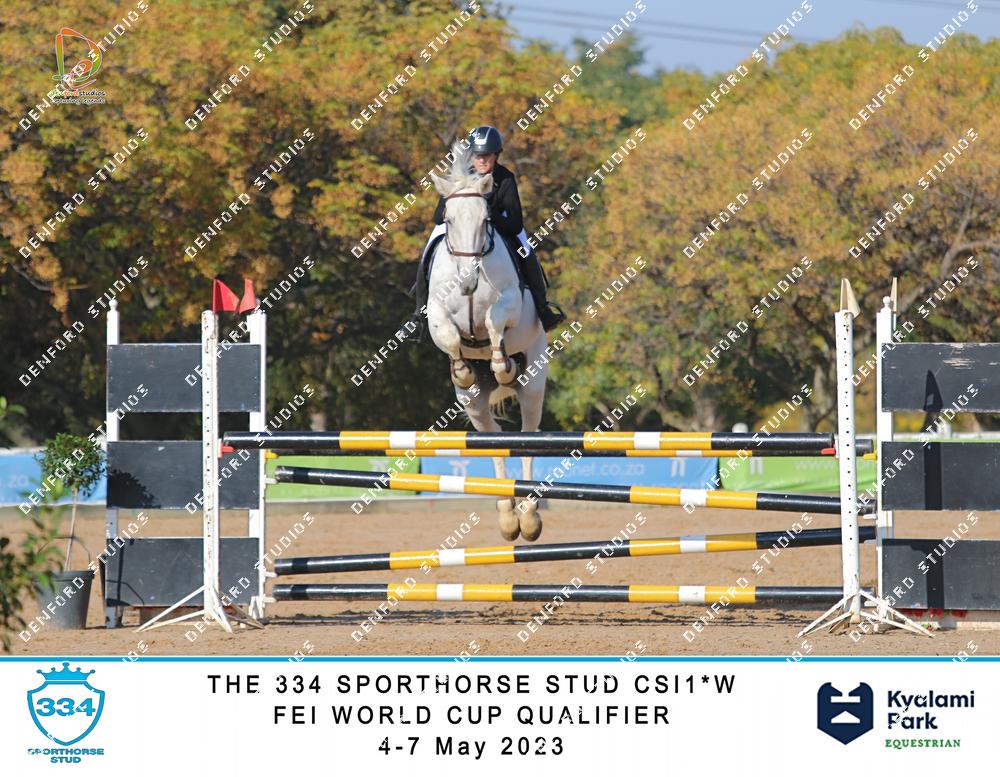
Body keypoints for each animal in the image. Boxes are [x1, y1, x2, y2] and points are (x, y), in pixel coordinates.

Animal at [426, 144, 549, 541]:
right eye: (448, 220)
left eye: (485, 221)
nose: (467, 283)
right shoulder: (435, 313)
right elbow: (449, 334)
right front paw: (463, 369)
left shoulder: (510, 301)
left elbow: (494, 321)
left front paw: (502, 365)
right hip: (474, 406)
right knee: (494, 441)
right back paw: (508, 516)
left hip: (535, 382)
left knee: (528, 438)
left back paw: (529, 516)